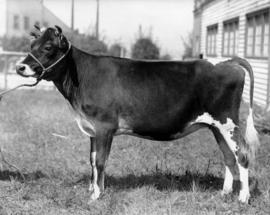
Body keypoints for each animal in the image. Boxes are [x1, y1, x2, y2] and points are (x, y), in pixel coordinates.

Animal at [15, 26, 260, 204]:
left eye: (48, 47)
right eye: (32, 45)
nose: (20, 67)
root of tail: (227, 61)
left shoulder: (104, 127)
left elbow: (101, 161)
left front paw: (97, 195)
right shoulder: (92, 129)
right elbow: (92, 161)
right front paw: (93, 190)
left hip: (228, 122)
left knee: (242, 155)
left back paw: (243, 198)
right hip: (217, 126)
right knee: (229, 157)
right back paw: (225, 193)